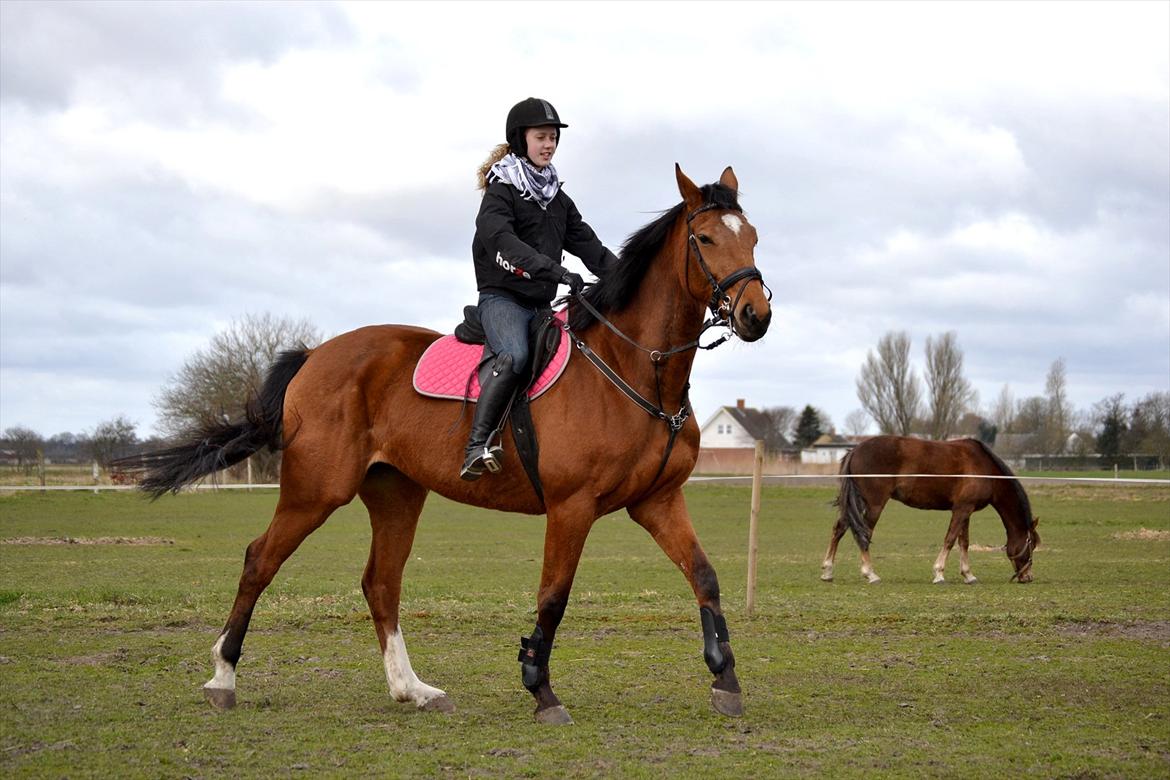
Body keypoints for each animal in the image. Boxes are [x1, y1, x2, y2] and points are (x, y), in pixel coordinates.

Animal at [128, 164, 772, 725]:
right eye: (706, 238)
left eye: (754, 237)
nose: (755, 315)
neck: (634, 367)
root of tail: (315, 355)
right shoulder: (572, 507)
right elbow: (553, 597)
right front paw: (540, 690)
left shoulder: (657, 502)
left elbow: (705, 576)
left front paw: (726, 678)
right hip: (316, 490)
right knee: (261, 560)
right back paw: (223, 677)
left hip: (396, 494)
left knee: (380, 583)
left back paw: (411, 689)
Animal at [823, 437, 1043, 582]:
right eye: (1031, 544)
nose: (1028, 576)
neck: (986, 470)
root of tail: (855, 450)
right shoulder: (962, 510)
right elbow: (950, 540)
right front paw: (939, 572)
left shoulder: (966, 510)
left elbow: (964, 542)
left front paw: (968, 574)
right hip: (873, 504)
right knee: (864, 534)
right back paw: (870, 573)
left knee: (838, 529)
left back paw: (827, 571)